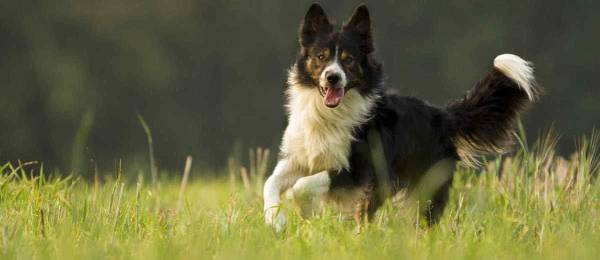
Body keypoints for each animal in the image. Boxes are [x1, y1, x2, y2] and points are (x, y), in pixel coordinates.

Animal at [262, 3, 540, 232]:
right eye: (321, 56)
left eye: (348, 60)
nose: (333, 77)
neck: (328, 113)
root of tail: (443, 116)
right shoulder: (299, 157)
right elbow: (270, 182)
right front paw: (275, 220)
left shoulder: (358, 169)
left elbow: (301, 186)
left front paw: (304, 212)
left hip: (416, 184)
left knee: (415, 219)